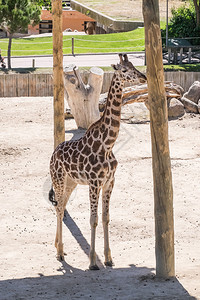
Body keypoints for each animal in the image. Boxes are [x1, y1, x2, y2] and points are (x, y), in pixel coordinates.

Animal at [49, 53, 146, 270]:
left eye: (133, 65)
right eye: (124, 70)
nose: (143, 77)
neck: (107, 144)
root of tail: (53, 154)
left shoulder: (109, 181)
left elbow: (105, 218)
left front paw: (109, 259)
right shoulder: (94, 182)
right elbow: (93, 219)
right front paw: (93, 262)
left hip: (71, 182)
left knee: (61, 206)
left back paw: (59, 248)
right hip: (59, 179)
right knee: (58, 207)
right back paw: (59, 252)